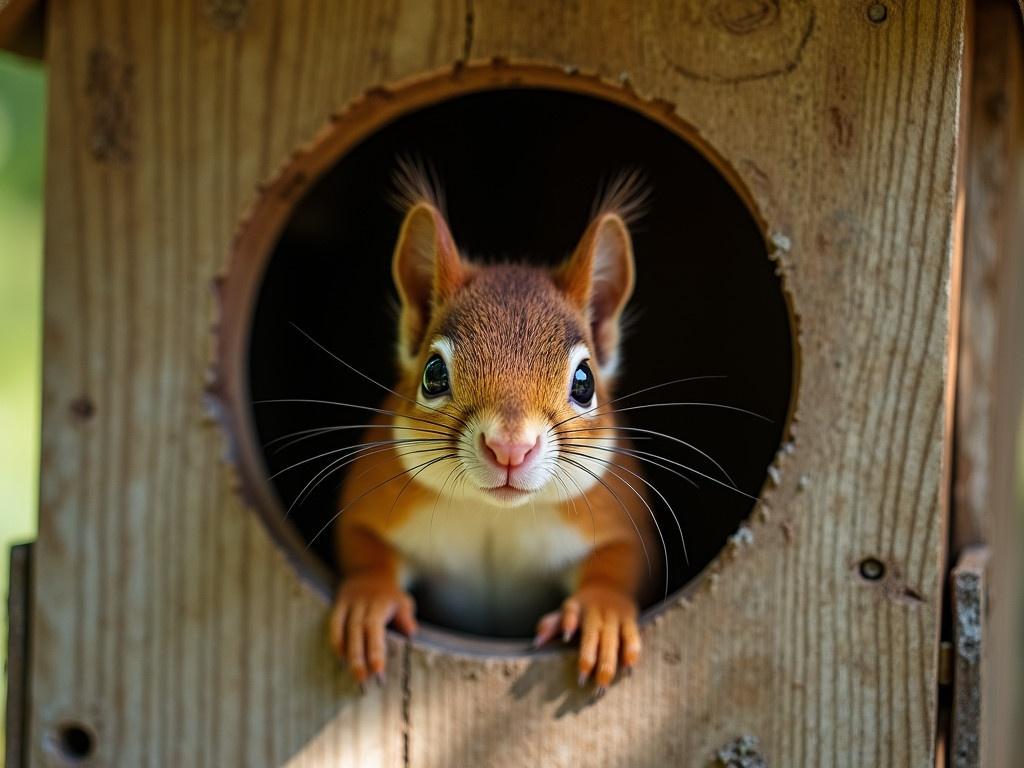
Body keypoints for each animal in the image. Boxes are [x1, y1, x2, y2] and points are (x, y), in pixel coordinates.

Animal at [325, 169, 655, 696]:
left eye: (584, 383)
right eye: (433, 374)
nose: (510, 448)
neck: (495, 515)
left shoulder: (616, 514)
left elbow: (620, 561)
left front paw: (602, 615)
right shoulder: (377, 499)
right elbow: (361, 542)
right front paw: (368, 601)